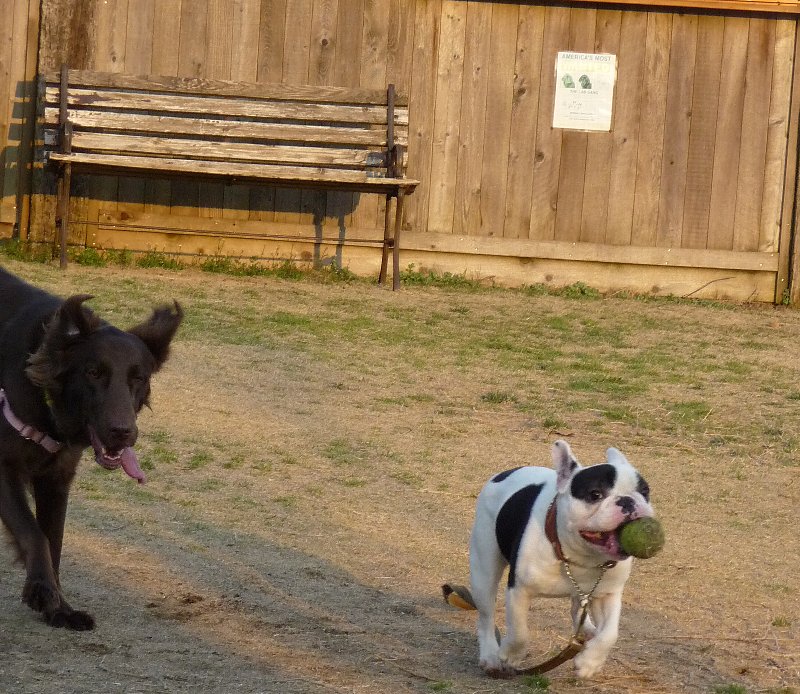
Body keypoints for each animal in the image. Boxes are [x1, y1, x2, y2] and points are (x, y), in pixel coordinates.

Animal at [0, 266, 182, 630]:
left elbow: (53, 541)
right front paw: (41, 590)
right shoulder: (2, 468)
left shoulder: (56, 478)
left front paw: (60, 609)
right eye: (94, 373)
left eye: (138, 378)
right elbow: (34, 534)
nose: (123, 433)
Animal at [468, 439, 654, 678]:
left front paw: (589, 662)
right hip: (484, 571)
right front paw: (511, 655)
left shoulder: (609, 594)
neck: (579, 557)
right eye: (595, 494)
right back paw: (490, 656)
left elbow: (610, 633)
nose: (628, 501)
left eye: (645, 491)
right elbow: (519, 631)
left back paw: (588, 630)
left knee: (579, 607)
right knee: (486, 615)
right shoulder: (519, 590)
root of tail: (503, 474)